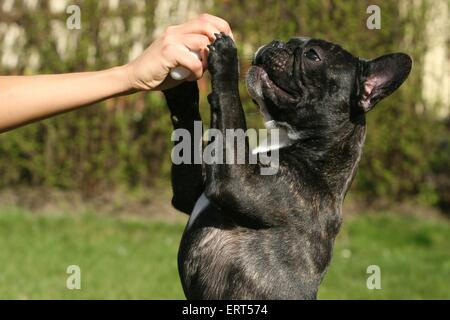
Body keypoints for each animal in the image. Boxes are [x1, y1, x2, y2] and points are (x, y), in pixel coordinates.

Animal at [163, 33, 412, 298]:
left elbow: (230, 104)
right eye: (292, 40)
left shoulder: (238, 181)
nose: (277, 42)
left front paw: (226, 55)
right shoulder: (188, 192)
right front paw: (180, 90)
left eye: (312, 55)